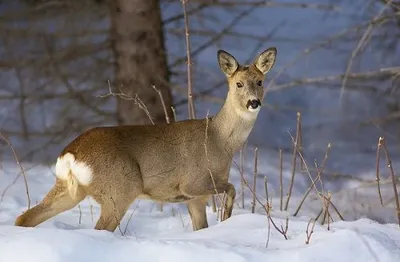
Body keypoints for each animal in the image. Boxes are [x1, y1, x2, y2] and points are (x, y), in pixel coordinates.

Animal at [16, 46, 278, 231]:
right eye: (238, 84)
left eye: (260, 81)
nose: (253, 102)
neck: (219, 140)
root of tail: (70, 154)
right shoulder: (192, 182)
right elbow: (232, 188)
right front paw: (226, 218)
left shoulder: (194, 198)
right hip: (119, 189)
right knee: (100, 227)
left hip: (69, 189)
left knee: (25, 217)